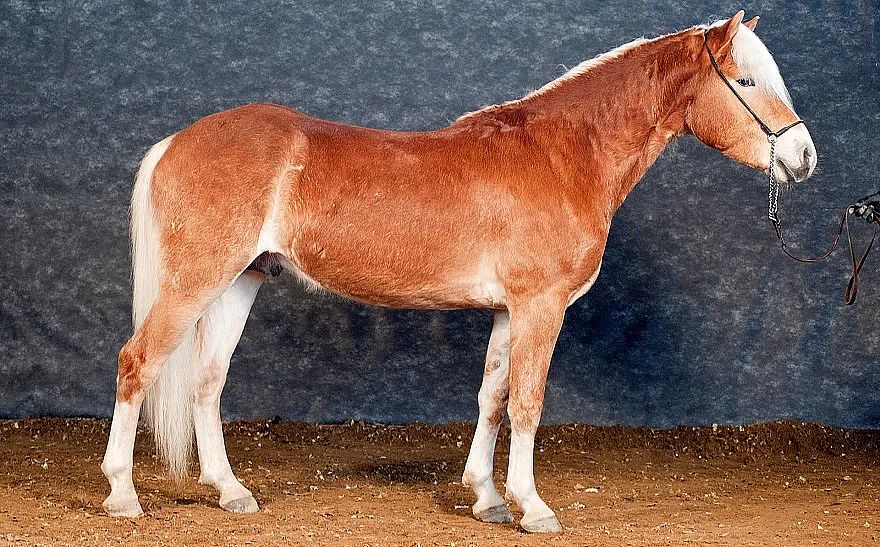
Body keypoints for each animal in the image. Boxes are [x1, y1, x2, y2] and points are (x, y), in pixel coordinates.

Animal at [101, 11, 816, 532]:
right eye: (747, 83)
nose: (805, 157)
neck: (561, 154)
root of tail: (177, 142)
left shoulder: (507, 310)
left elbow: (492, 398)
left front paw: (488, 499)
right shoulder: (540, 306)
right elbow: (527, 402)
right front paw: (534, 508)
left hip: (240, 282)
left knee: (206, 383)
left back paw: (231, 492)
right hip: (196, 281)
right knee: (138, 362)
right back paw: (123, 496)